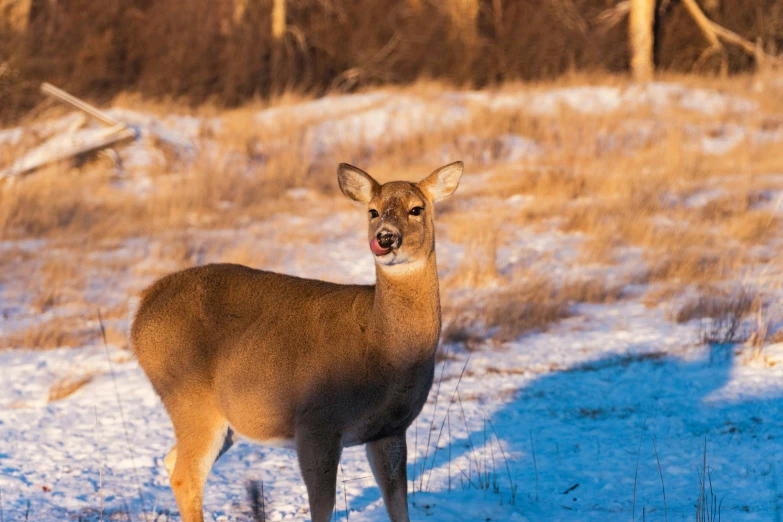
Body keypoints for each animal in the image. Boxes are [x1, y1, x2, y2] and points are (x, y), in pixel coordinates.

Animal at [130, 160, 466, 520]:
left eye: (417, 209)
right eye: (373, 211)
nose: (385, 237)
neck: (382, 348)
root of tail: (142, 309)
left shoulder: (389, 429)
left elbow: (398, 503)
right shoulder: (316, 422)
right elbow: (322, 506)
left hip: (226, 420)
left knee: (171, 461)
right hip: (189, 397)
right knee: (186, 475)